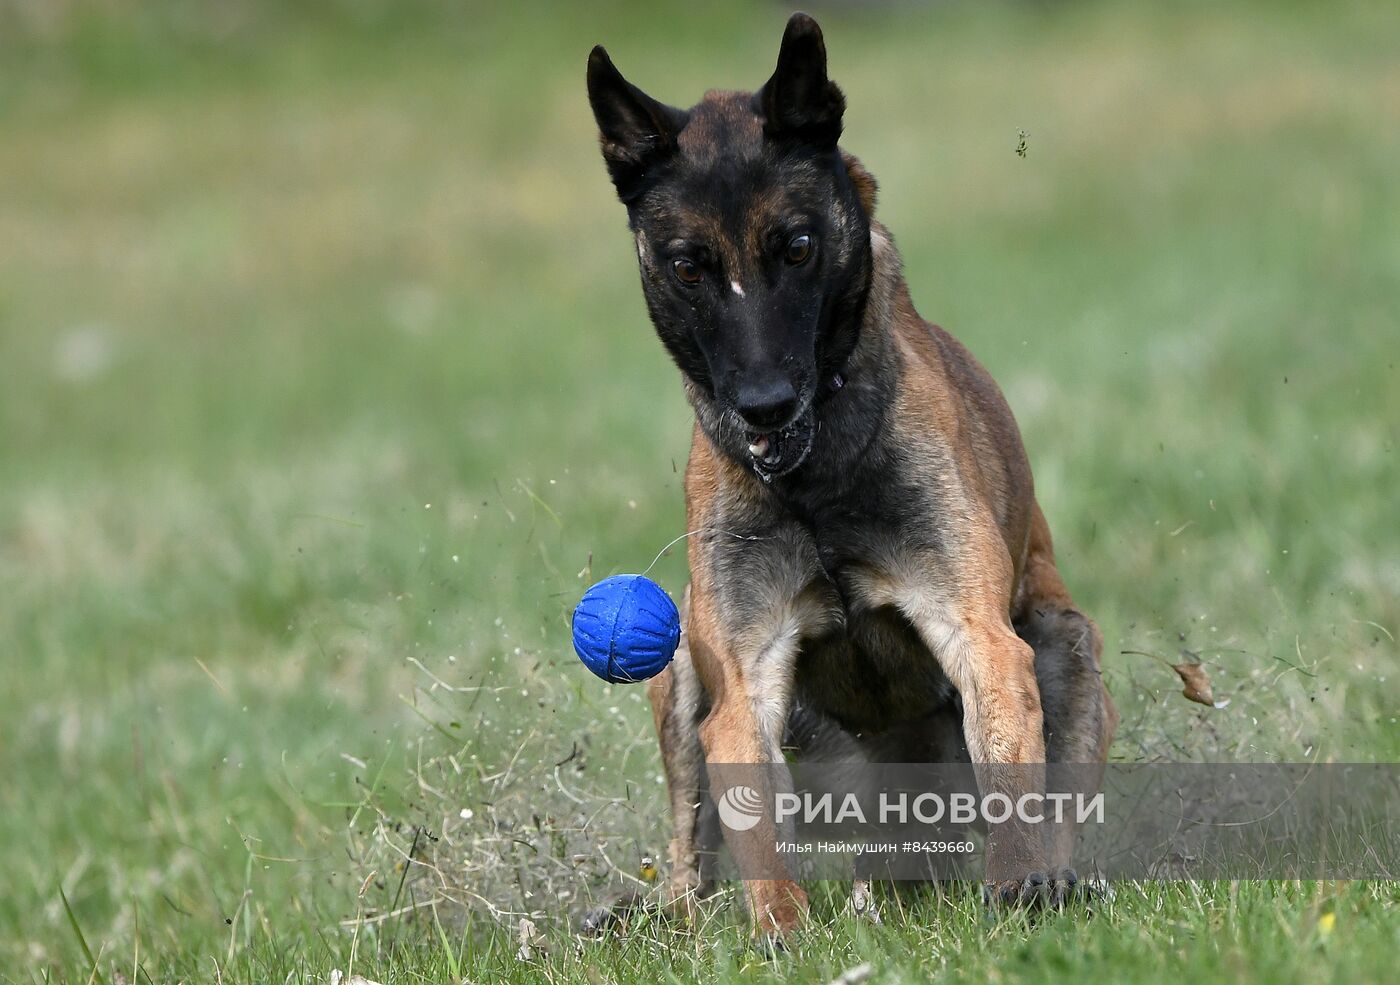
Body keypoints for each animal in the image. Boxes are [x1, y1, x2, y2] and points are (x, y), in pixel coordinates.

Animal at [588, 15, 1114, 940]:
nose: (764, 404)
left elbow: (1011, 772)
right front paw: (783, 933)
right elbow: (757, 823)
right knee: (694, 858)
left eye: (797, 247)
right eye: (688, 266)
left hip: (1067, 644)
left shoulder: (982, 638)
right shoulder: (743, 676)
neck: (816, 484)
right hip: (680, 666)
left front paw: (1020, 892)